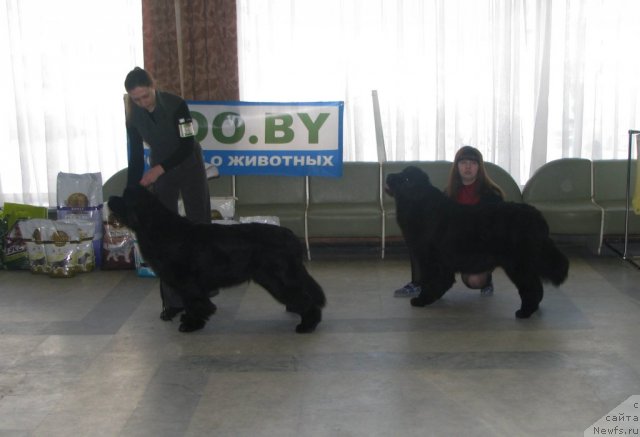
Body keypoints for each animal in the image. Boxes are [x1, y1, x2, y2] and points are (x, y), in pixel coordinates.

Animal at [109, 185, 324, 334]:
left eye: (124, 197)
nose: (110, 198)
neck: (157, 227)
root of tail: (291, 236)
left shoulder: (187, 282)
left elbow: (195, 302)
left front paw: (191, 324)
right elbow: (191, 302)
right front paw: (190, 320)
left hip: (277, 279)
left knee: (304, 298)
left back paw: (307, 325)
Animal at [384, 165, 568, 318]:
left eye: (406, 179)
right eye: (401, 172)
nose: (388, 175)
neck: (421, 206)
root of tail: (537, 216)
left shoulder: (432, 260)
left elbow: (431, 282)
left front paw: (422, 300)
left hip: (518, 264)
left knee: (531, 287)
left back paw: (525, 312)